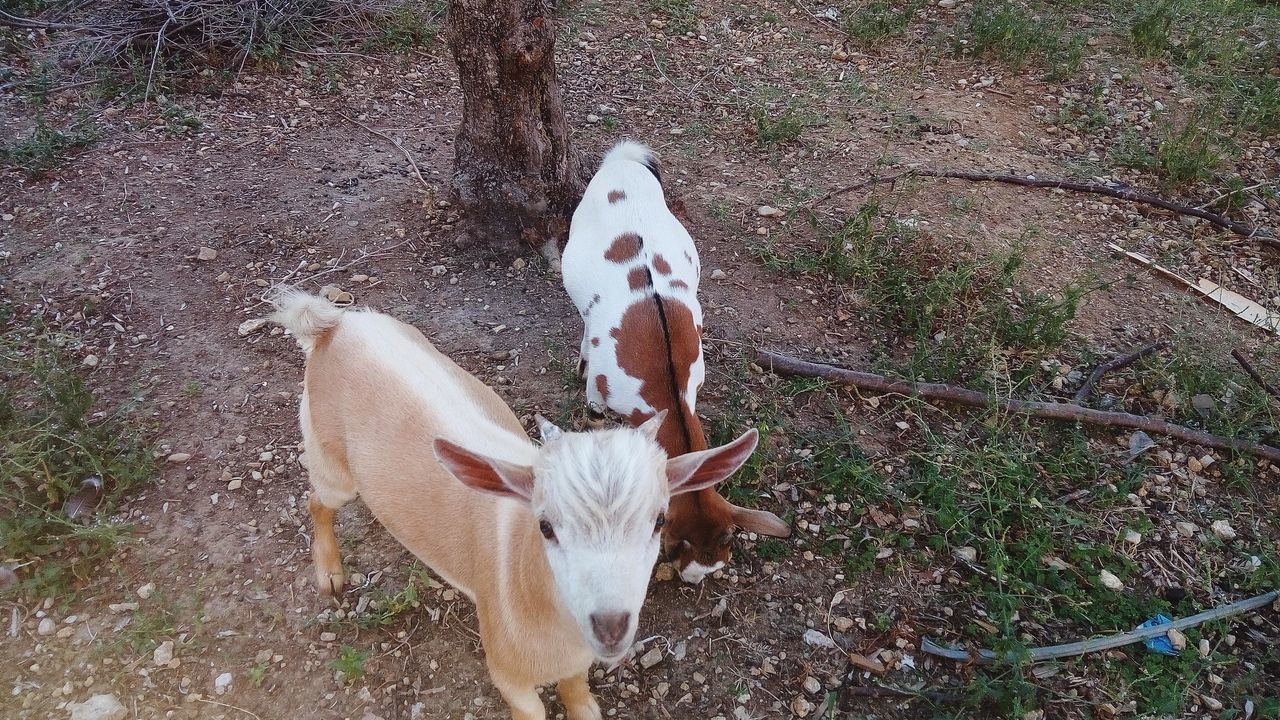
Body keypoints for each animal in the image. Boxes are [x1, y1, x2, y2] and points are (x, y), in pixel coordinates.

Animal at [264, 288, 752, 717]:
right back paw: (330, 574)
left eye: (658, 521)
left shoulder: (575, 659)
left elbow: (577, 691)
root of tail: (335, 325)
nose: (611, 627)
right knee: (317, 502)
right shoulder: (506, 666)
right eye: (546, 526)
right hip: (331, 459)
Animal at [563, 141, 788, 584]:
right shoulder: (601, 389)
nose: (693, 578)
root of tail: (624, 161)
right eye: (675, 546)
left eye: (724, 547)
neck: (664, 376)